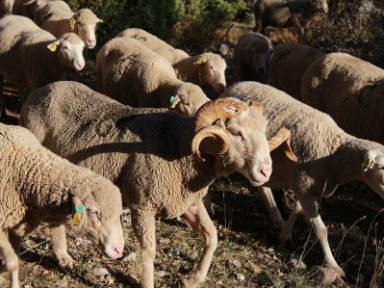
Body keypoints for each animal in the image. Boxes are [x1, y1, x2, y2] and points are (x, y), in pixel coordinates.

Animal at [18, 80, 294, 288]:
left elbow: (212, 236)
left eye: (264, 131)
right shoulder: (143, 205)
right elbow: (149, 251)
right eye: (236, 132)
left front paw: (193, 279)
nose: (265, 171)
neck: (180, 147)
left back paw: (63, 257)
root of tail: (41, 90)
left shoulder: (186, 202)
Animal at [222, 80, 384, 280]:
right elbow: (321, 230)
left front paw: (285, 233)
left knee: (263, 187)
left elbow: (297, 209)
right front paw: (334, 266)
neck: (334, 154)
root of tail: (237, 84)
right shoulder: (304, 186)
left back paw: (277, 218)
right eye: (381, 167)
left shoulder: (304, 186)